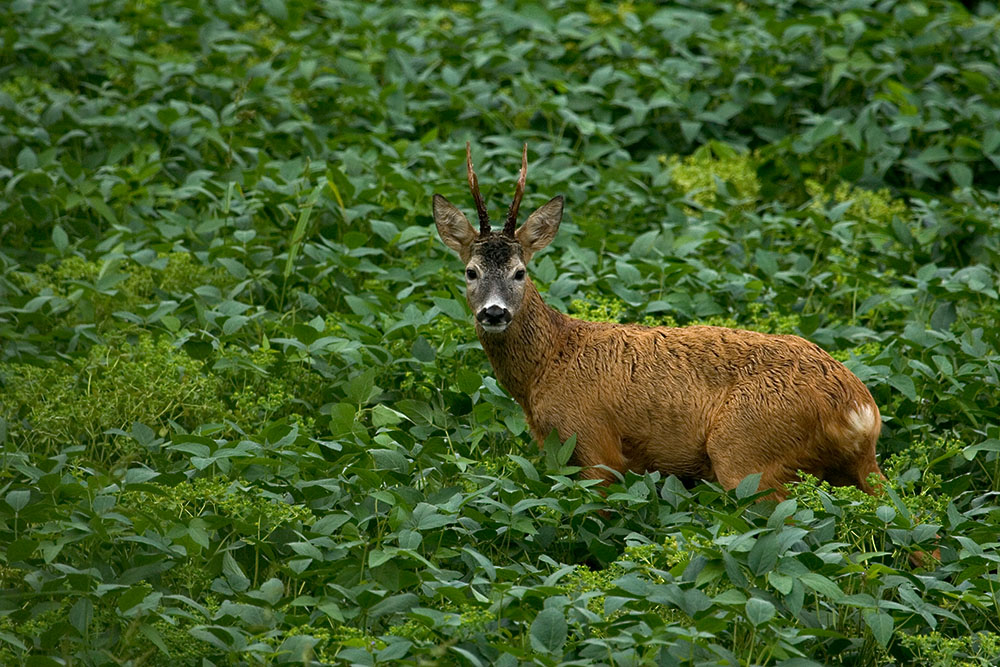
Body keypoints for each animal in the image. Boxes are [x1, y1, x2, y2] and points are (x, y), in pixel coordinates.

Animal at [434, 144, 888, 498]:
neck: (548, 365)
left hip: (747, 450)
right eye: (471, 272)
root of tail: (859, 408)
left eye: (520, 272)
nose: (494, 312)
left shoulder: (595, 442)